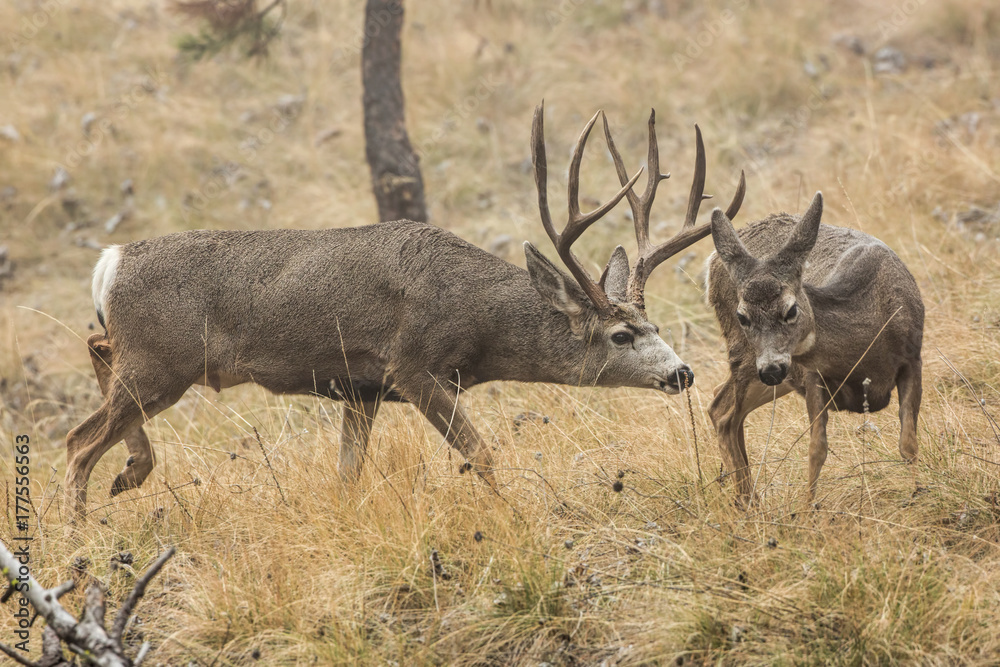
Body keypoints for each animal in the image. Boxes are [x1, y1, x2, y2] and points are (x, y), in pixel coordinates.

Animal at [64, 103, 746, 517]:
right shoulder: (414, 367)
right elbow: (481, 453)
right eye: (622, 335)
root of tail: (109, 262)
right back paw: (81, 530)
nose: (682, 373)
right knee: (77, 442)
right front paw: (511, 517)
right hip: (161, 360)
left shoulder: (360, 389)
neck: (477, 316)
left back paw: (131, 471)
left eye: (654, 325)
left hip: (147, 358)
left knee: (94, 353)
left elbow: (348, 476)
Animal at [706, 191, 924, 502]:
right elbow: (816, 450)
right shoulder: (812, 376)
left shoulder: (913, 359)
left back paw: (748, 500)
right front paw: (808, 509)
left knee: (723, 407)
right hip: (748, 359)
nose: (771, 369)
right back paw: (747, 501)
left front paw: (919, 491)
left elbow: (909, 444)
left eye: (791, 310)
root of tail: (713, 262)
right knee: (722, 411)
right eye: (742, 316)